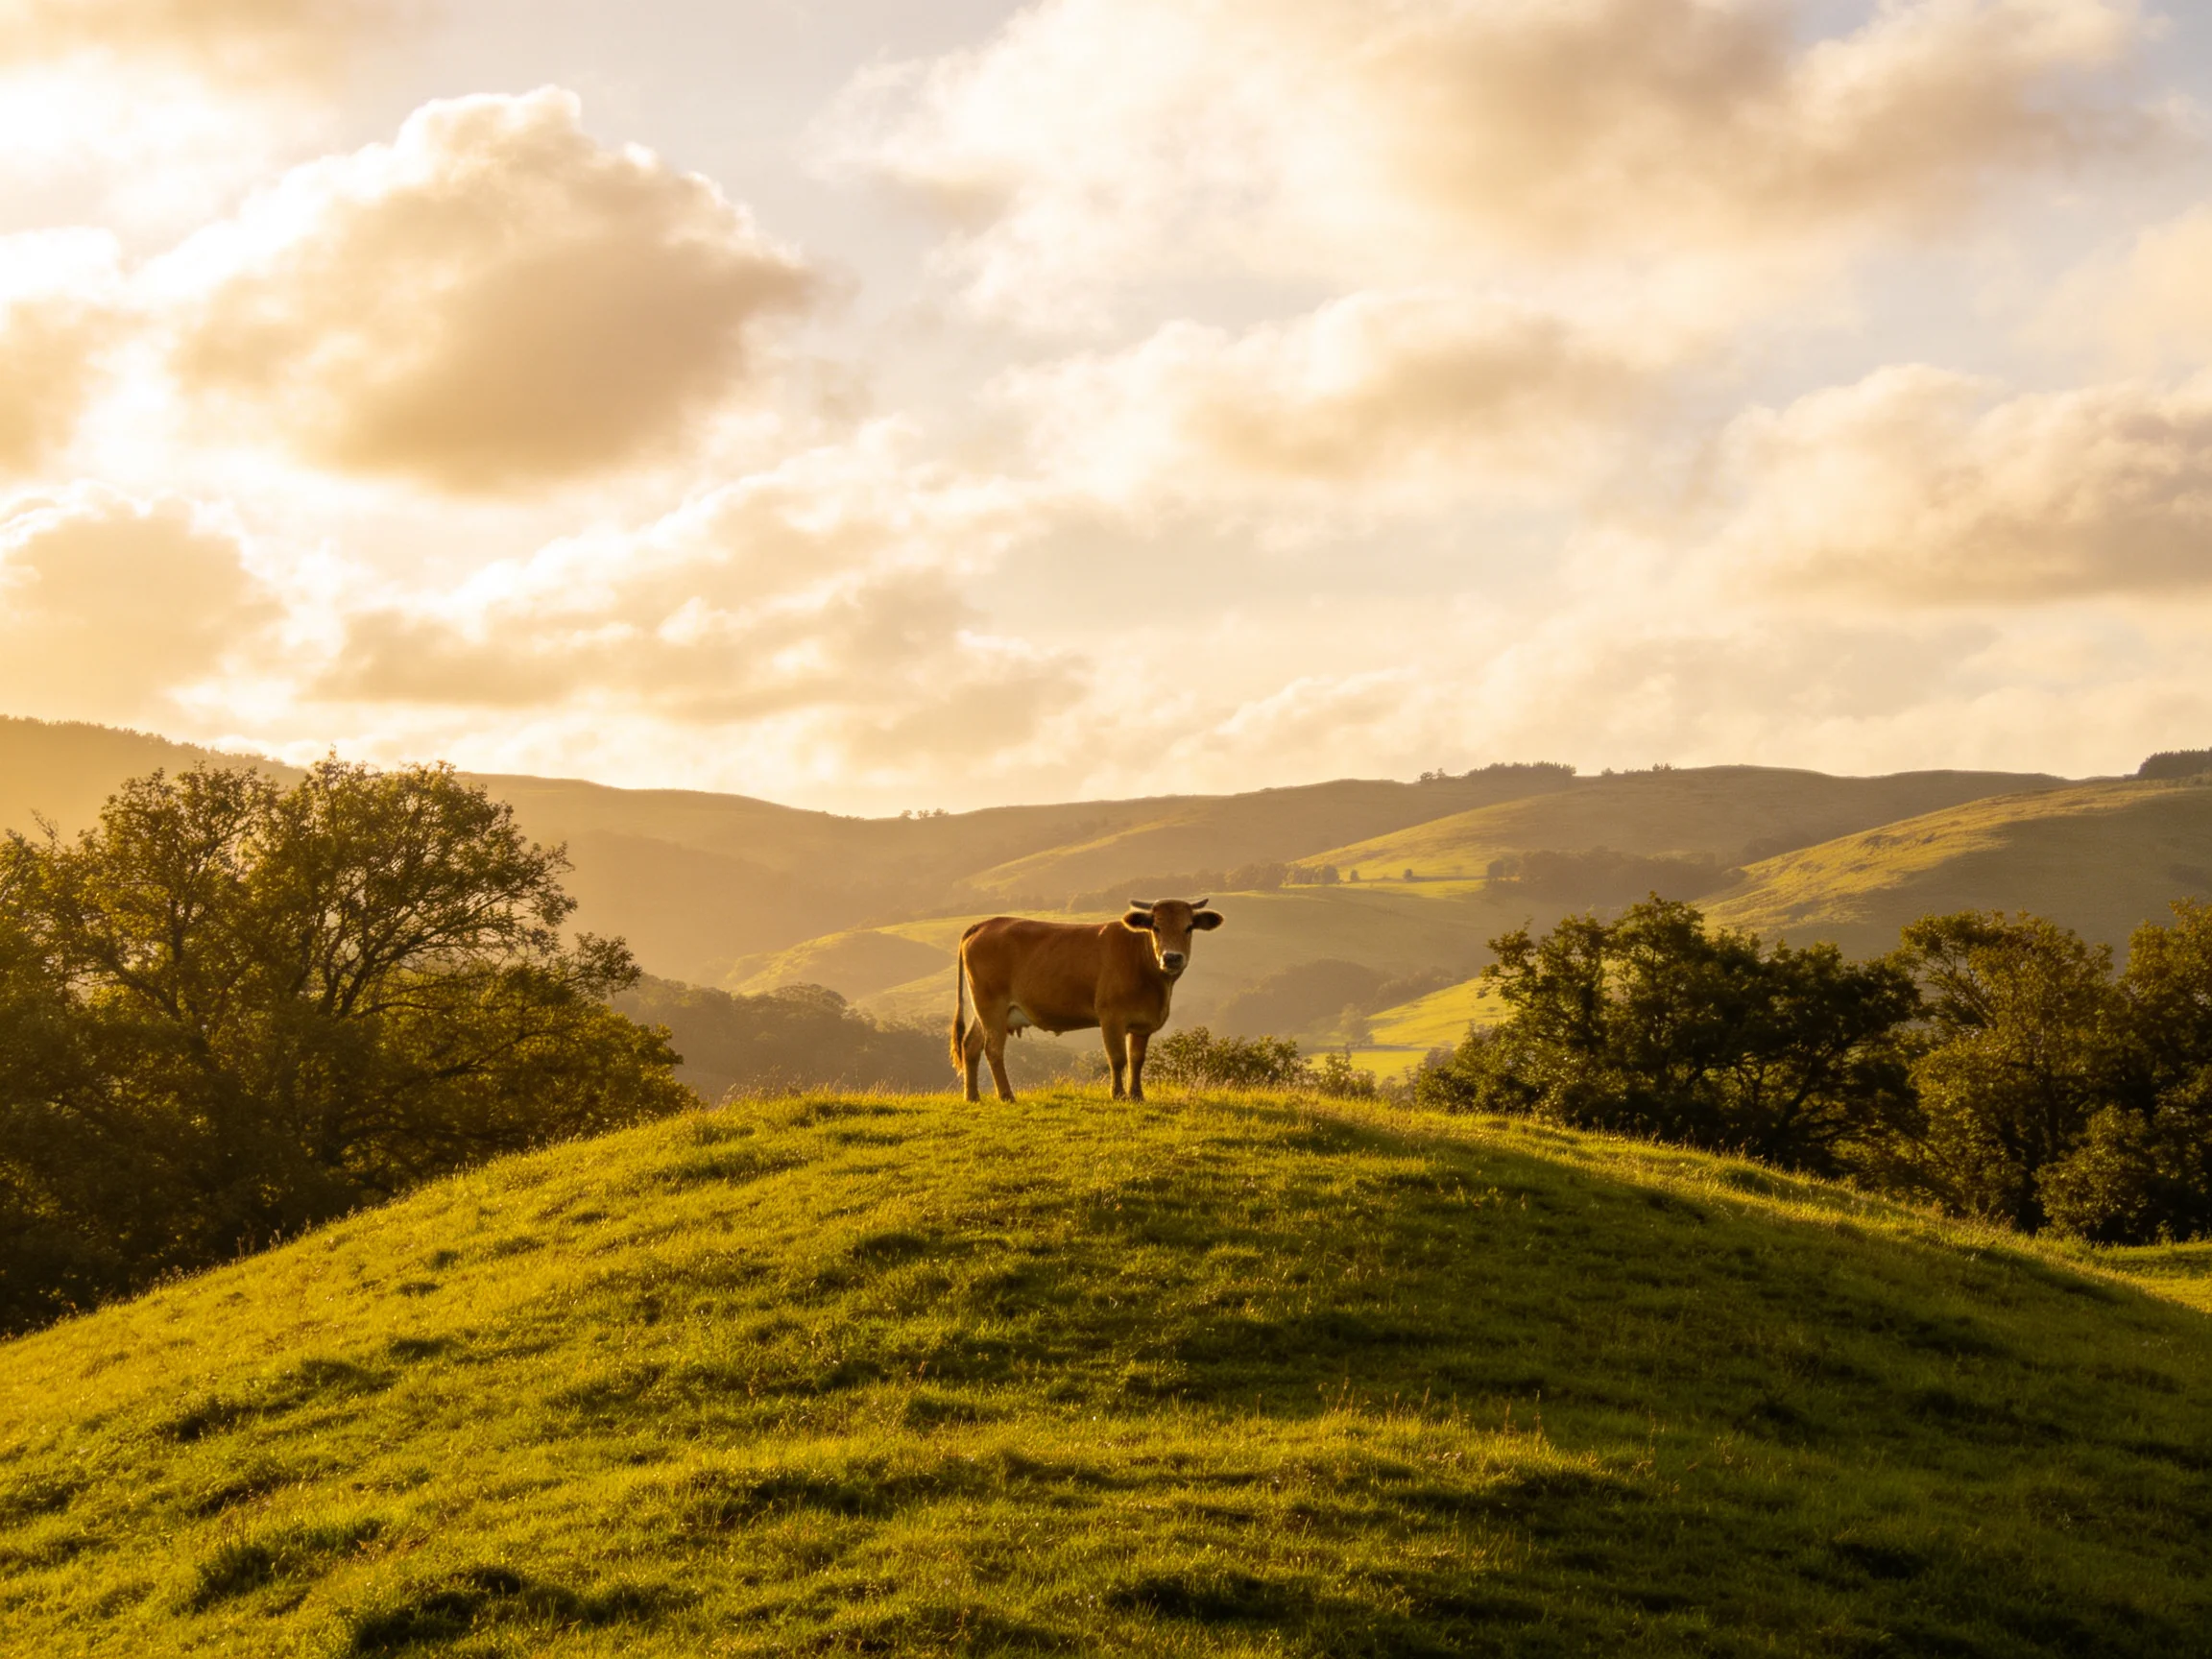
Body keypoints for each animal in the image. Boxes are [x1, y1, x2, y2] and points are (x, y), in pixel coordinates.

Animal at [950, 897, 1224, 1103]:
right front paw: (1118, 1094)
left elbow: (1137, 1059)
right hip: (991, 1006)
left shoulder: (1142, 1023)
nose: (1172, 958)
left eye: (1188, 927)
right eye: (1155, 927)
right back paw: (1006, 1095)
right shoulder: (1111, 1016)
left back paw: (972, 1096)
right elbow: (1118, 1057)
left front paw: (1137, 1095)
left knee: (971, 1045)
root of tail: (986, 924)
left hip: (984, 1010)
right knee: (993, 1049)